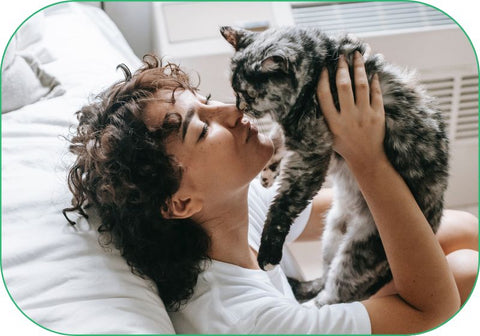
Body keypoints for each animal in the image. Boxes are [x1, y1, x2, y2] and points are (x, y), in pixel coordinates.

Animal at [219, 25, 448, 306]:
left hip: (358, 252)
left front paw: (269, 254)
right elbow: (275, 139)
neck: (321, 64)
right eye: (234, 90)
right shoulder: (295, 133)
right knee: (326, 277)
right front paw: (268, 174)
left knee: (334, 295)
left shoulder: (311, 154)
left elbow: (283, 206)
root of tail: (433, 225)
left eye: (248, 94)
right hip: (332, 234)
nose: (240, 108)